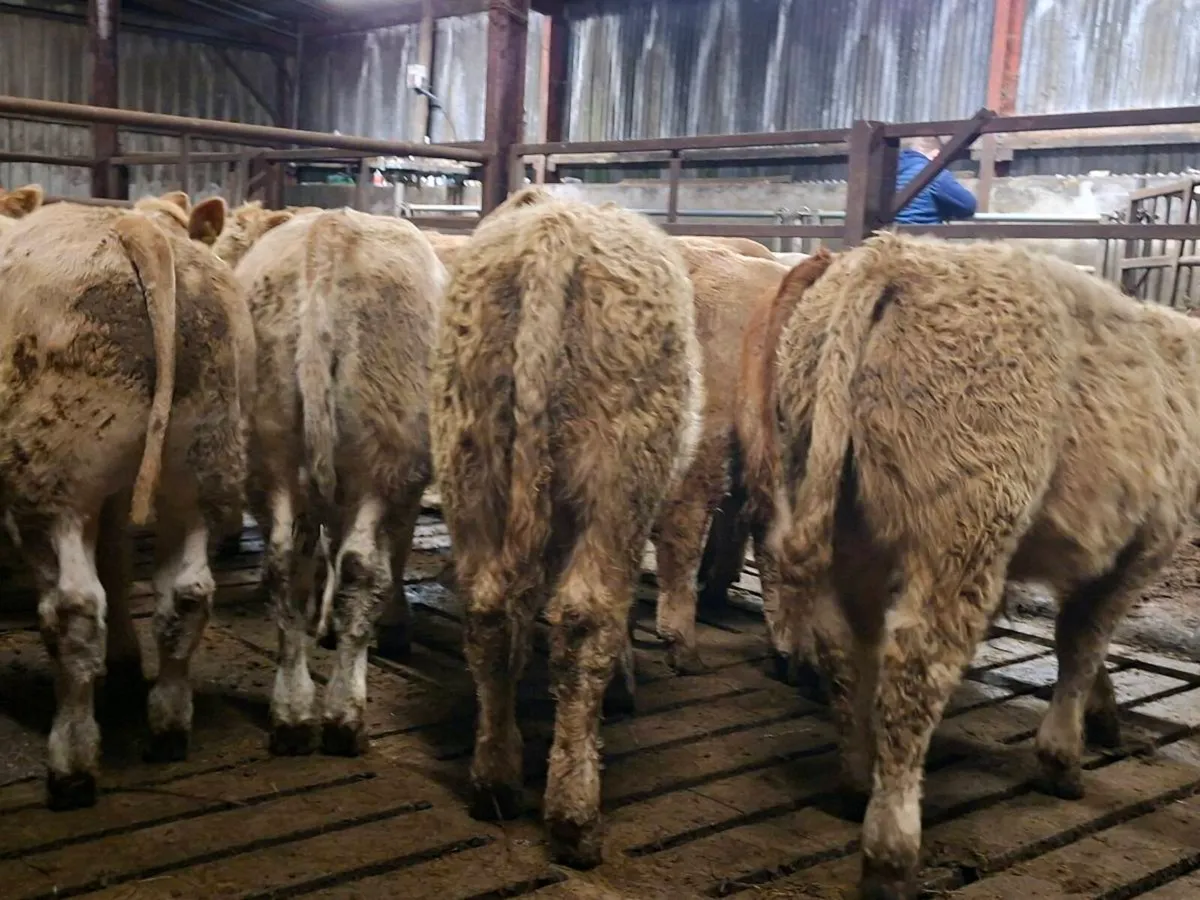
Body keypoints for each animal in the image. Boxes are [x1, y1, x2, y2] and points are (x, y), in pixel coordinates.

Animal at [0, 191, 250, 809]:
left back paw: (72, 763)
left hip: (53, 480)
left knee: (73, 607)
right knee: (186, 593)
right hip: (201, 464)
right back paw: (168, 726)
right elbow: (116, 557)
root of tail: (139, 231)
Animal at [234, 207, 445, 757]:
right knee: (360, 565)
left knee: (285, 561)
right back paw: (344, 713)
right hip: (385, 456)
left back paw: (292, 711)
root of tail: (328, 233)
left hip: (269, 448)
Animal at [431, 187, 702, 868]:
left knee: (488, 612)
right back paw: (574, 814)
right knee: (584, 619)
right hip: (617, 479)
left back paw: (495, 776)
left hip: (471, 461)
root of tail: (555, 230)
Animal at [765, 232, 1200, 899]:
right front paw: (1063, 755)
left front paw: (1101, 713)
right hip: (965, 525)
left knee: (846, 649)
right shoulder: (1145, 542)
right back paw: (891, 851)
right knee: (914, 672)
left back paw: (856, 781)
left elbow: (1084, 640)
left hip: (843, 522)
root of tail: (892, 255)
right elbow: (1083, 641)